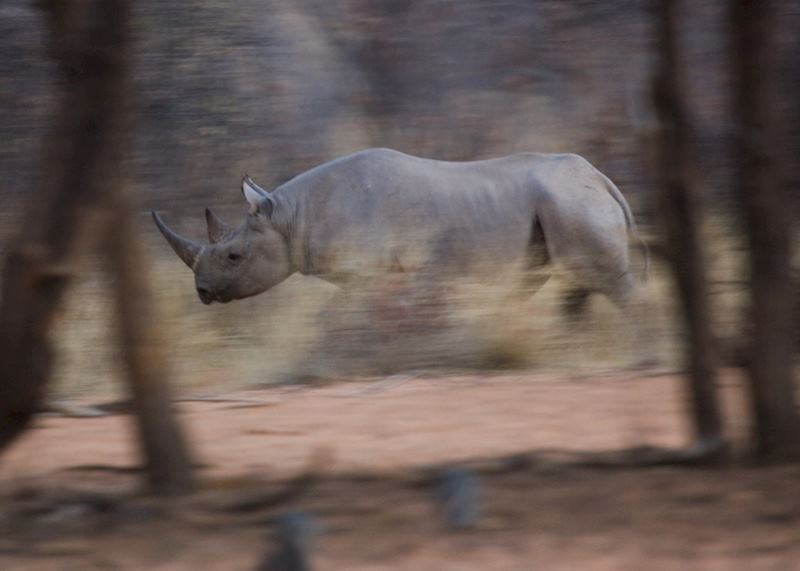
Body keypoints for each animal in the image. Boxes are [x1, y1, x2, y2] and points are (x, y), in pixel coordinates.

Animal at [153, 148, 650, 348]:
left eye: (234, 256)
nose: (201, 292)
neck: (291, 217)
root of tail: (602, 179)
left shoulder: (367, 274)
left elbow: (336, 317)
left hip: (571, 203)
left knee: (603, 281)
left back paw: (640, 350)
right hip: (567, 203)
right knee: (578, 284)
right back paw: (576, 345)